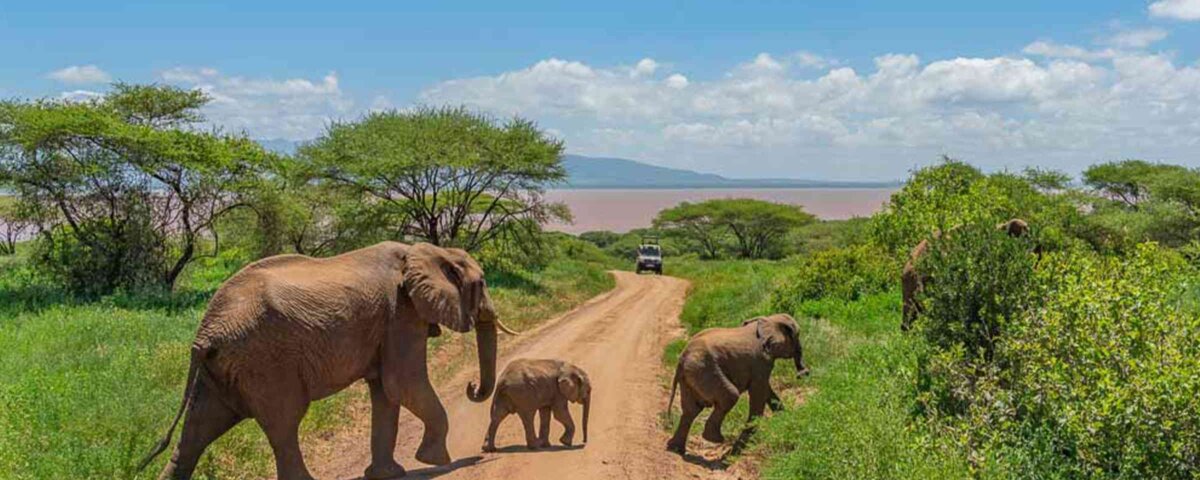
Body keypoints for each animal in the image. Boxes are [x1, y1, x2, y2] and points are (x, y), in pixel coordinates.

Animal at [138, 241, 517, 480]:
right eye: (481, 284)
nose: (472, 386)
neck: (427, 251)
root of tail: (204, 333)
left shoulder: (391, 320)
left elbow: (386, 392)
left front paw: (388, 475)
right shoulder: (400, 312)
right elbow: (403, 383)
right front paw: (435, 461)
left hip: (220, 369)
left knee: (198, 429)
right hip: (264, 361)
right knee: (283, 423)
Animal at [665, 314, 809, 455]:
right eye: (797, 335)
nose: (803, 374)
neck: (769, 319)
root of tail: (681, 360)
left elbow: (766, 390)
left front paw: (786, 418)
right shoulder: (761, 361)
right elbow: (759, 393)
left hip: (691, 377)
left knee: (691, 410)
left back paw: (675, 449)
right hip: (704, 370)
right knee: (730, 396)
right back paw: (715, 439)